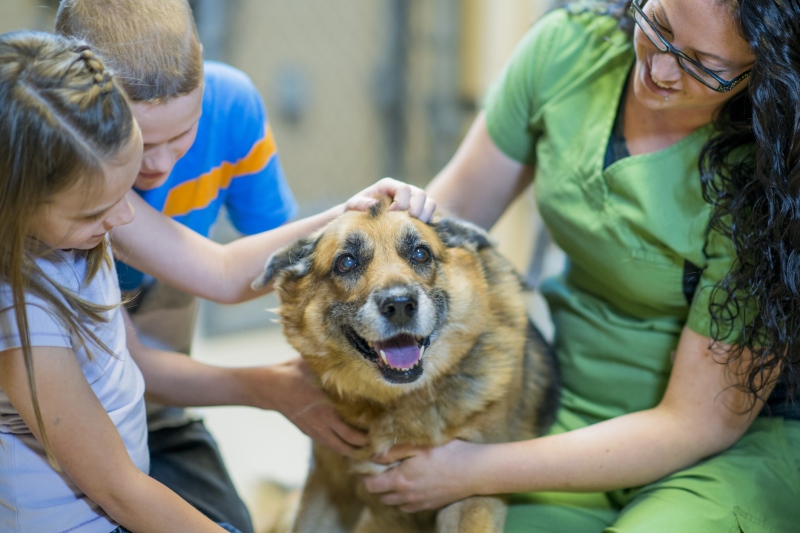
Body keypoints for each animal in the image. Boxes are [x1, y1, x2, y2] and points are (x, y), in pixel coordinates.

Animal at [253, 200, 560, 532]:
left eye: (420, 254)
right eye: (346, 262)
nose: (399, 304)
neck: (396, 402)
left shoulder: (468, 493)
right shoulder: (329, 485)